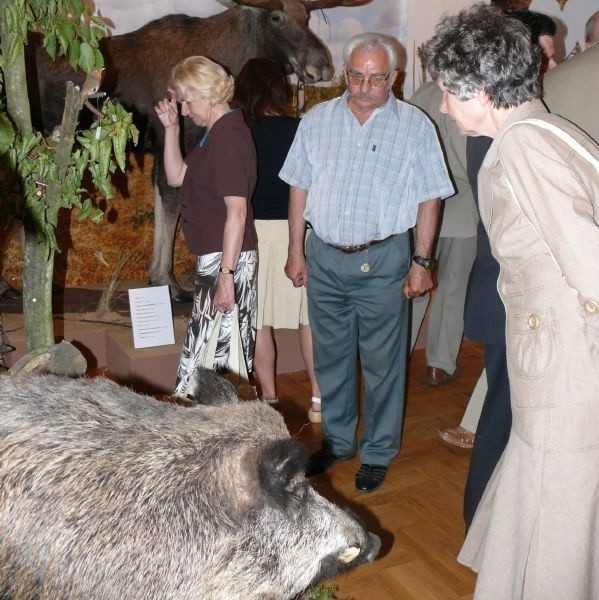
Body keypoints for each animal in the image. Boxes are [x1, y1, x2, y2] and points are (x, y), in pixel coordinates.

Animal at [31, 0, 376, 300]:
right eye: (276, 17)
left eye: (307, 16)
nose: (321, 65)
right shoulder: (176, 138)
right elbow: (171, 203)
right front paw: (168, 282)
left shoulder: (164, 148)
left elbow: (161, 201)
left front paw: (156, 277)